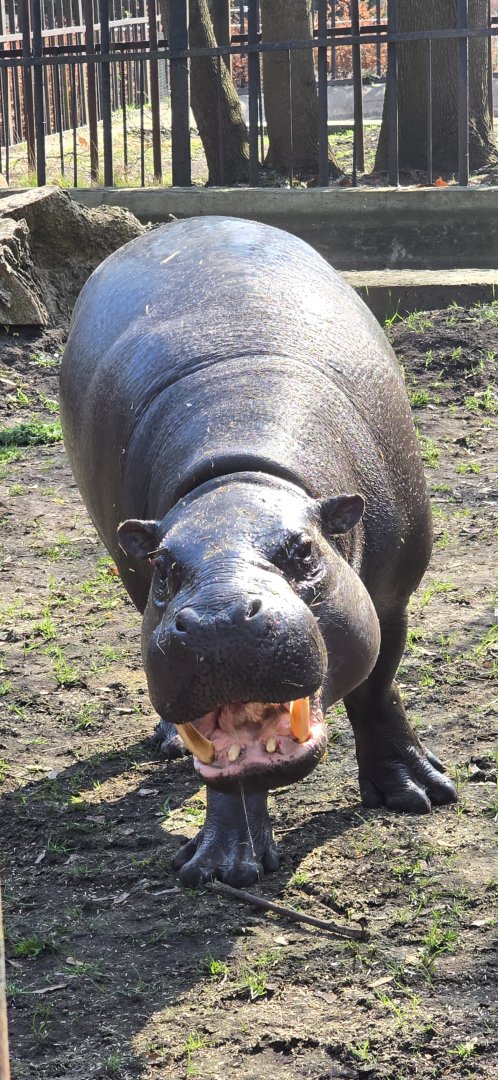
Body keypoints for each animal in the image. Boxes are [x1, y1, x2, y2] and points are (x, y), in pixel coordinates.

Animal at [60, 216, 456, 886]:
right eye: (164, 568)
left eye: (303, 551)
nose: (217, 619)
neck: (239, 475)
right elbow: (231, 771)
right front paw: (220, 865)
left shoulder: (390, 599)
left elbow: (379, 686)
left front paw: (418, 793)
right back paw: (169, 742)